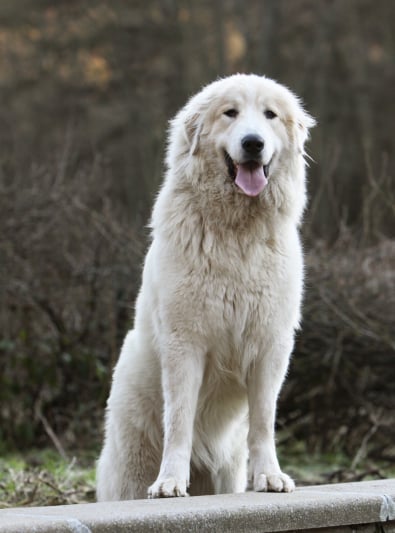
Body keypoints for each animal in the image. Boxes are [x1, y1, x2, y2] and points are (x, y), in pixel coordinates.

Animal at [96, 74, 316, 498]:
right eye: (230, 113)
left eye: (270, 115)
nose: (253, 143)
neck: (237, 232)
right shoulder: (185, 343)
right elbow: (179, 419)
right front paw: (169, 482)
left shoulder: (271, 345)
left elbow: (263, 421)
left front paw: (270, 476)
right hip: (129, 465)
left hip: (226, 473)